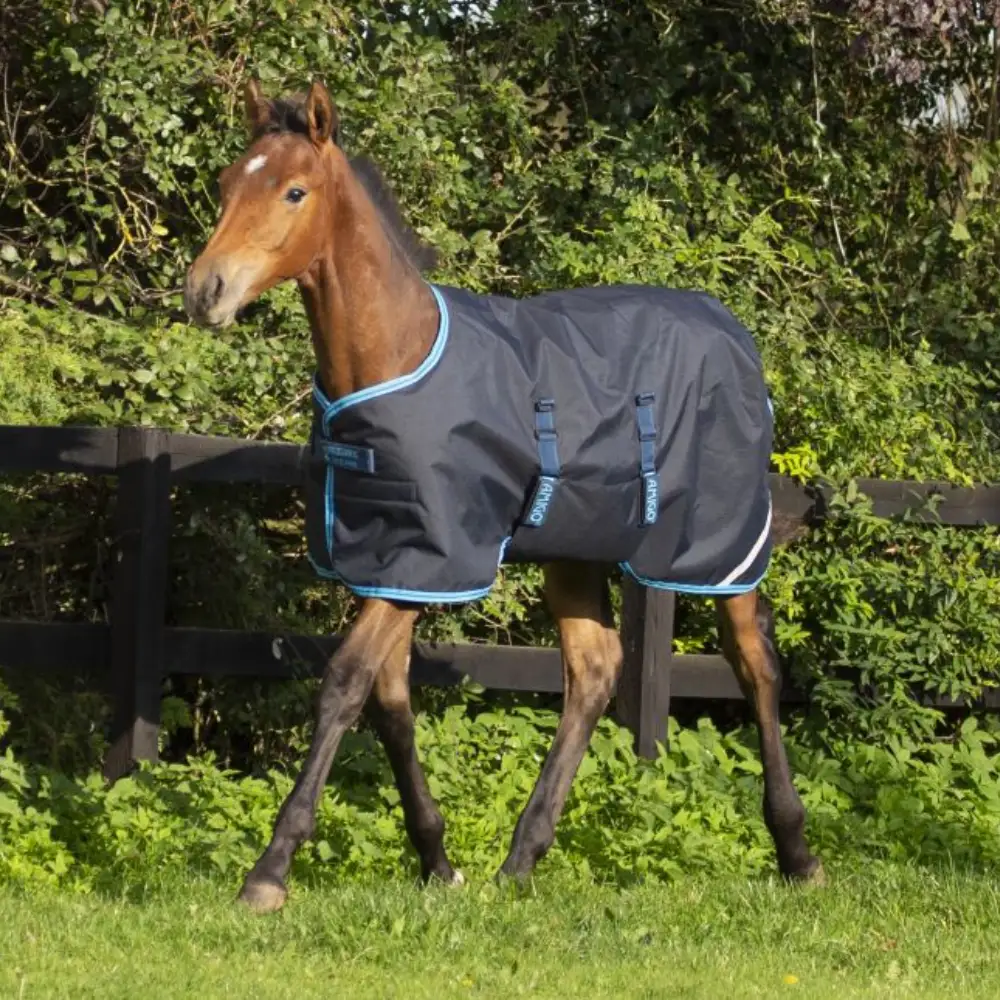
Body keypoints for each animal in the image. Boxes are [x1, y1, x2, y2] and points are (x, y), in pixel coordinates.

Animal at [184, 79, 823, 913]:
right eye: (229, 182)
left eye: (294, 190)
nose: (206, 291)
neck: (396, 355)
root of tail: (734, 333)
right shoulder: (390, 559)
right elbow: (389, 697)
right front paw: (438, 860)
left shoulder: (433, 557)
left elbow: (345, 683)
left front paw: (269, 871)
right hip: (574, 550)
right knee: (594, 669)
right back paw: (522, 857)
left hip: (719, 546)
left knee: (754, 666)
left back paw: (797, 852)